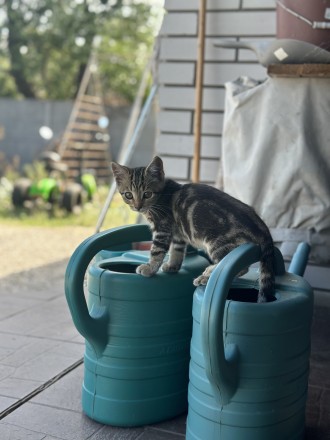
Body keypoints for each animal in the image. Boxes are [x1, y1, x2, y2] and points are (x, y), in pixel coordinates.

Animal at [111, 156, 276, 304]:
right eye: (128, 195)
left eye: (147, 194)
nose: (138, 207)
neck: (162, 195)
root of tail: (263, 227)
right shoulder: (177, 233)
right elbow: (177, 250)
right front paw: (172, 266)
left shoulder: (162, 227)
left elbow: (157, 251)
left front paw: (150, 268)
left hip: (216, 242)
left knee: (238, 266)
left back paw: (206, 275)